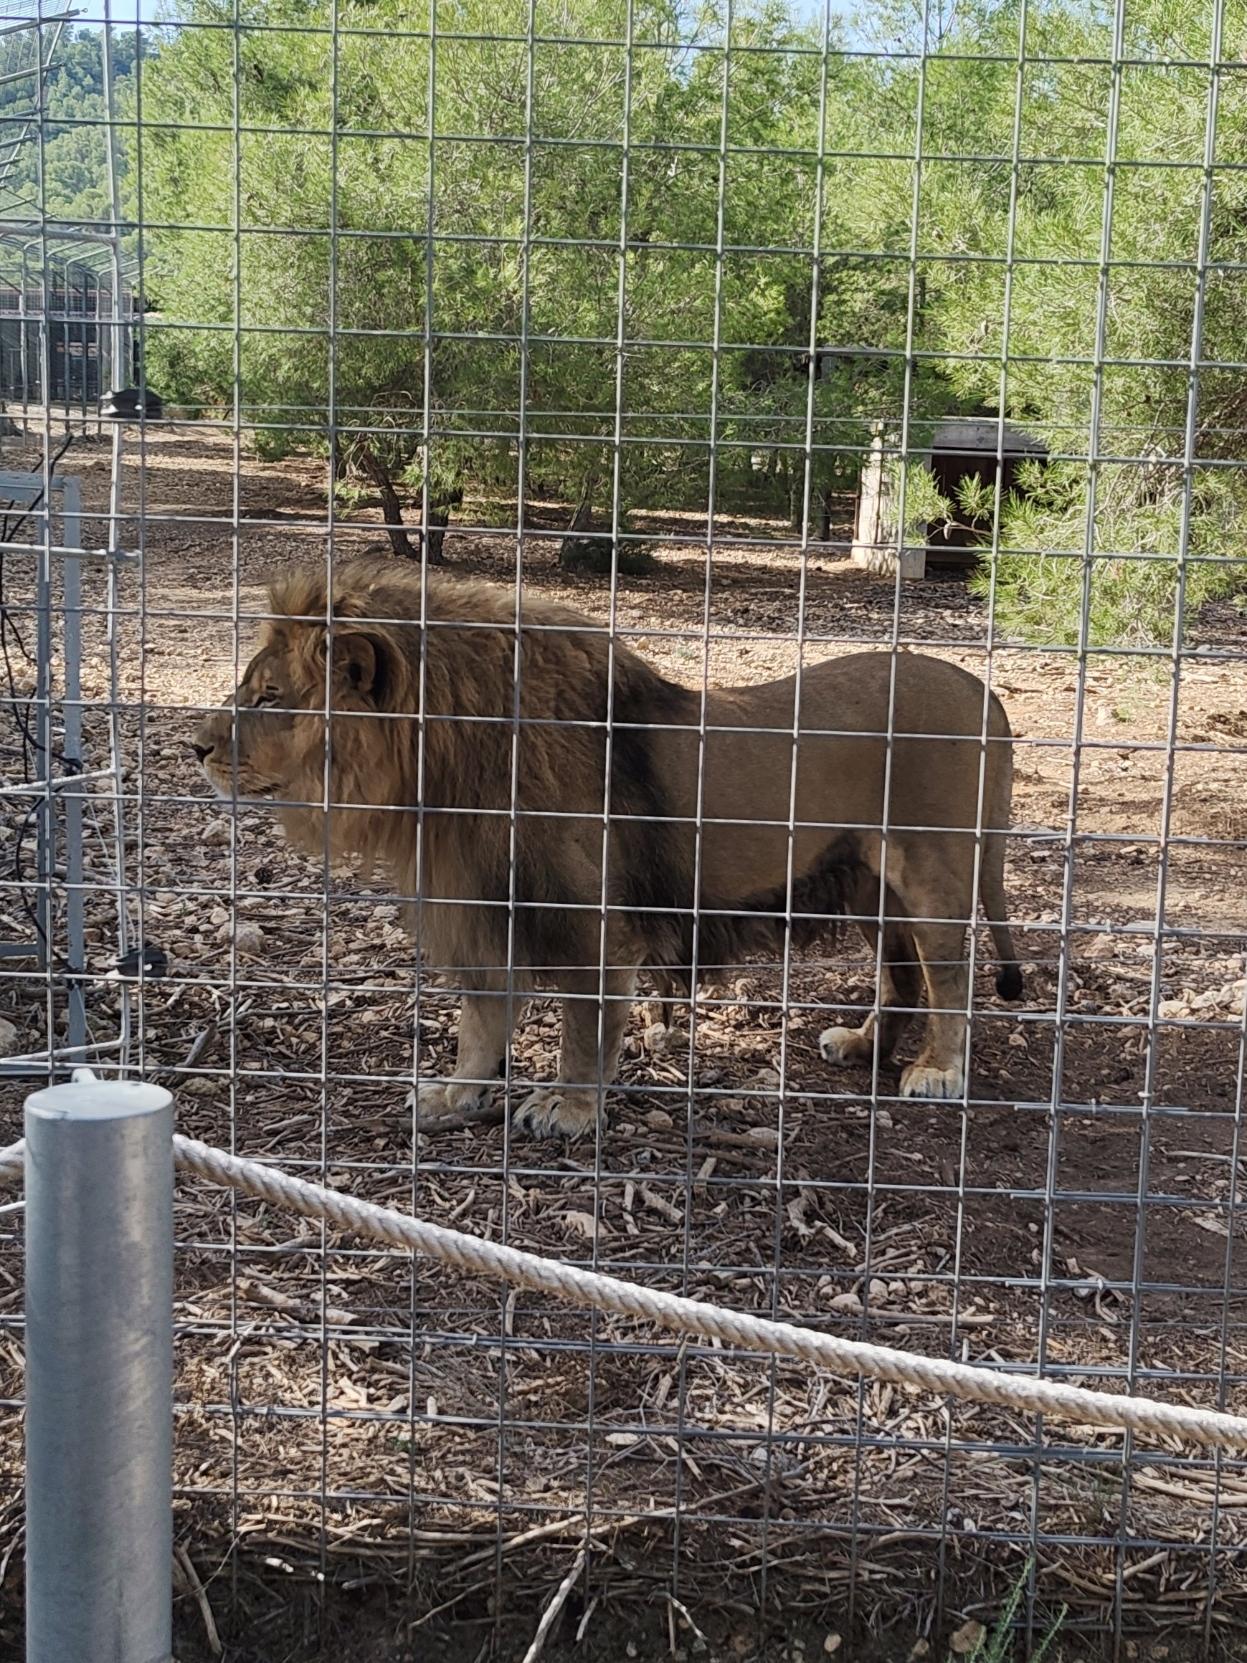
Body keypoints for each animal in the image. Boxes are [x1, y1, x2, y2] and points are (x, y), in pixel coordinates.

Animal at [193, 558, 1022, 1139]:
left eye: (268, 698)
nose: (195, 746)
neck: (440, 777)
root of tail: (979, 686)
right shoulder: (483, 902)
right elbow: (481, 1017)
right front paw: (459, 1092)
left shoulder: (584, 916)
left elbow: (583, 1025)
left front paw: (567, 1108)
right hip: (868, 884)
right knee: (902, 977)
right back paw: (862, 1044)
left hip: (932, 872)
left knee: (951, 977)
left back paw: (935, 1072)